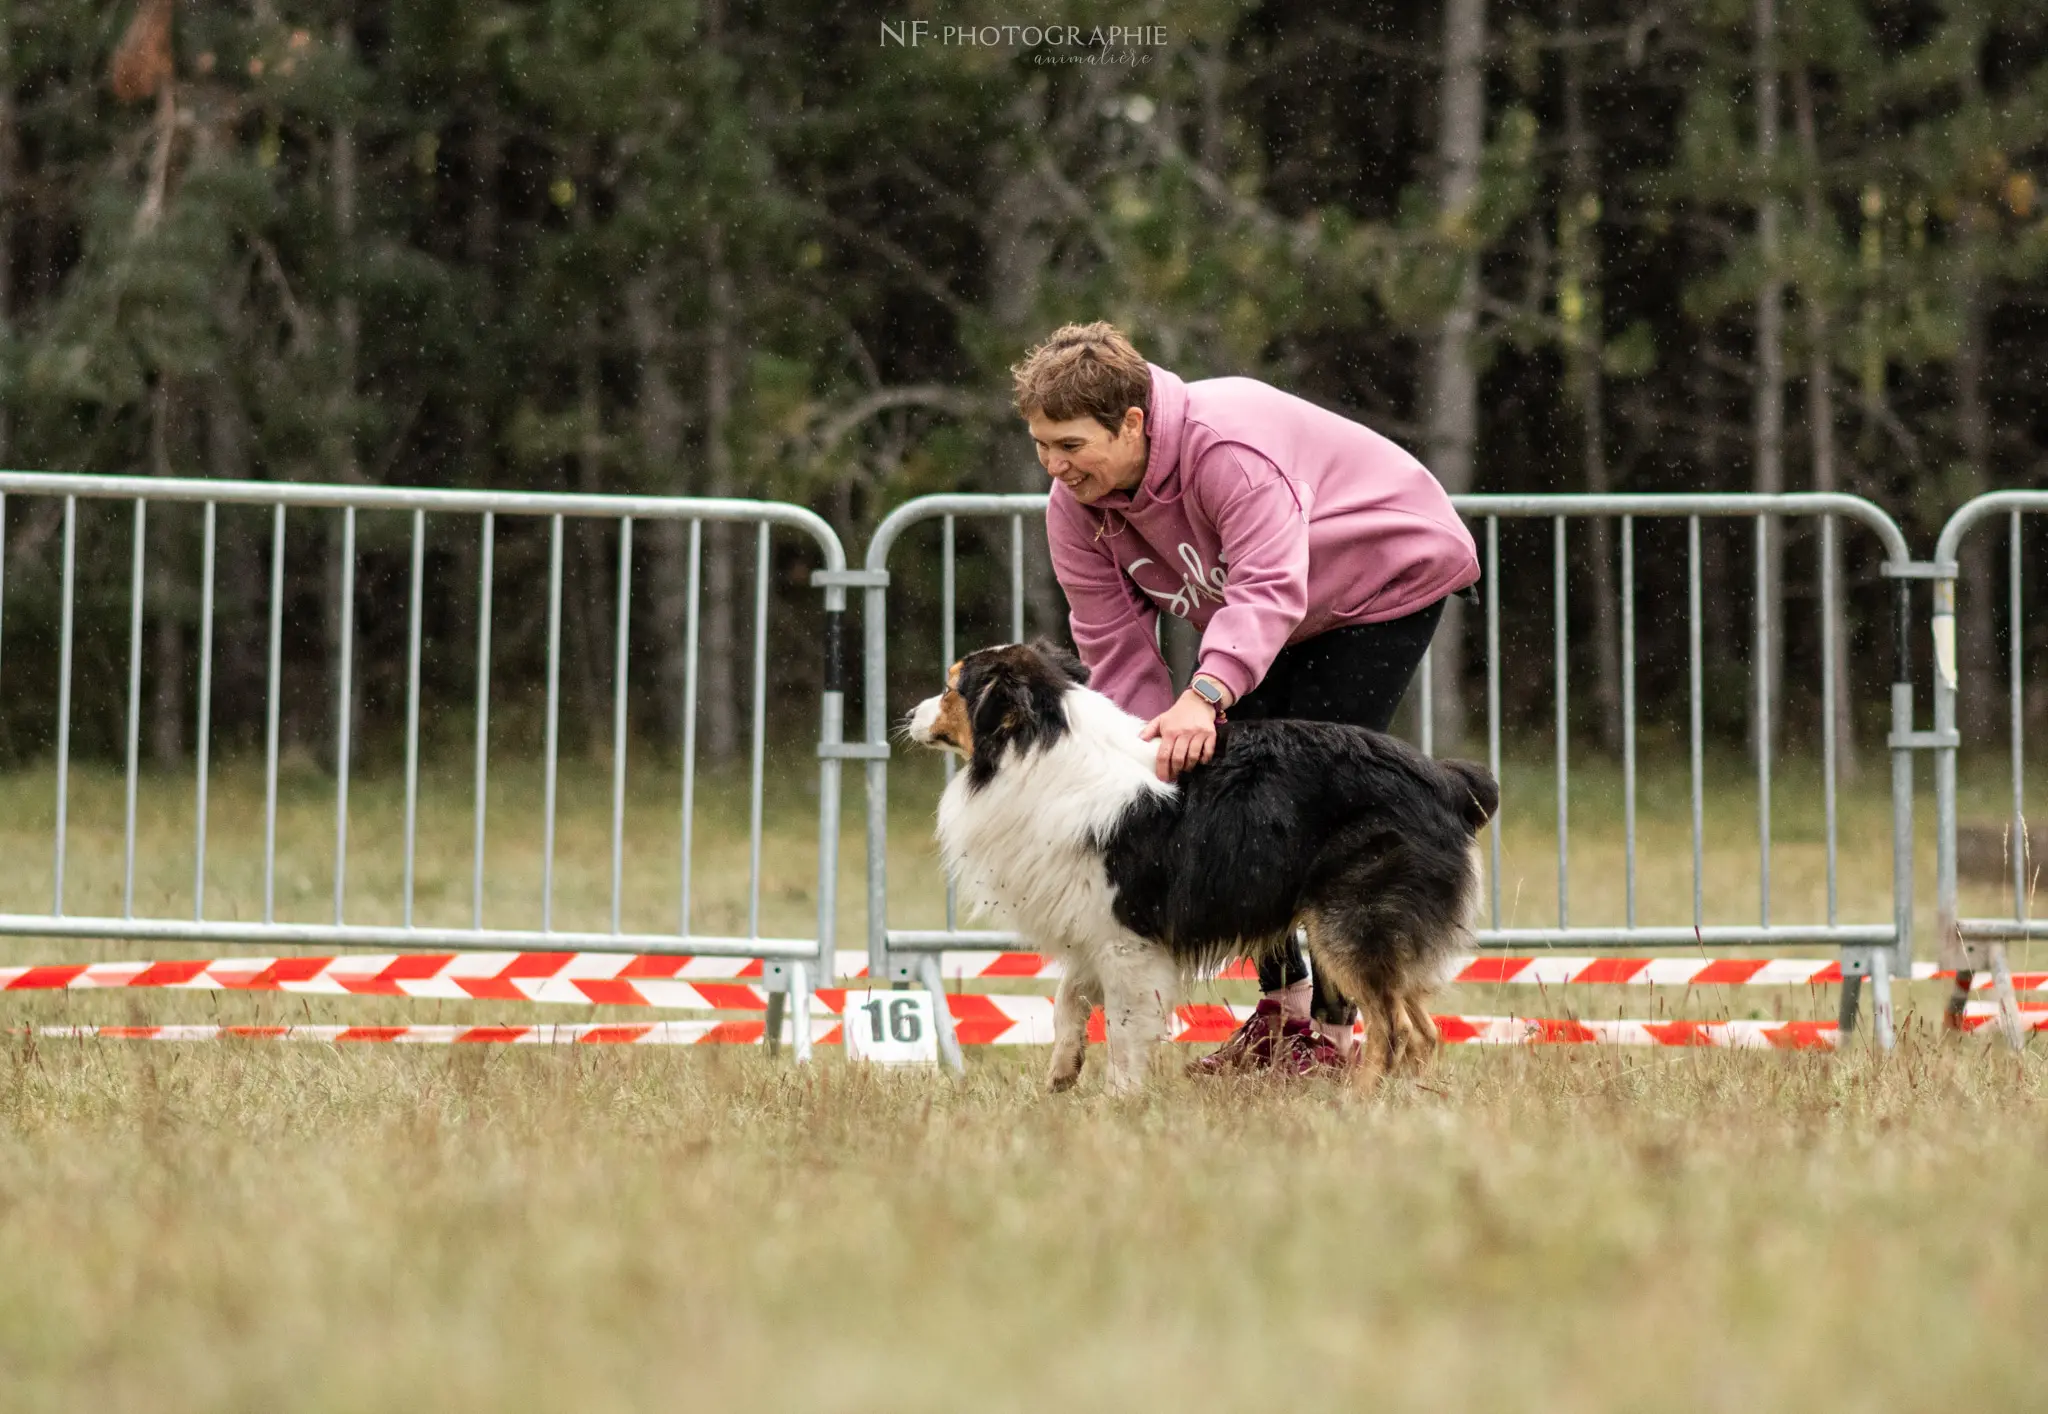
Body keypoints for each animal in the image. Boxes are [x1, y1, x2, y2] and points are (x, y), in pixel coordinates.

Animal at [905, 635, 1499, 1090]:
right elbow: (1067, 996)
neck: (1043, 748)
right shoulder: (1092, 917)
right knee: (1425, 1030)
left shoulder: (1129, 937)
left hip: (1349, 923)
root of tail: (1448, 779)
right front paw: (1061, 1072)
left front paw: (1119, 1102)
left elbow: (1123, 1028)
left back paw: (1356, 1101)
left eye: (952, 686)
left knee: (1394, 1030)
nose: (908, 714)